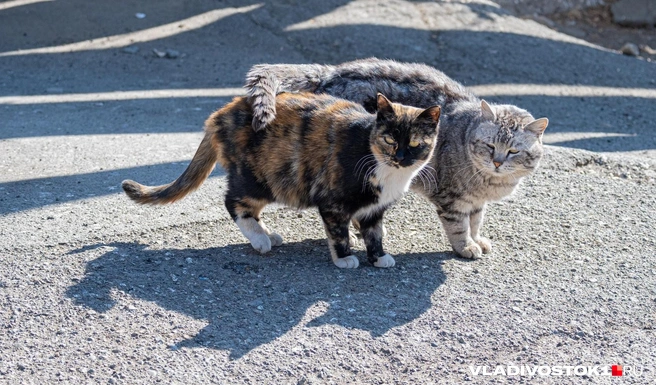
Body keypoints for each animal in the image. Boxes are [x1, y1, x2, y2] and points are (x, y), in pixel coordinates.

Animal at [123, 92, 440, 268]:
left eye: (414, 143)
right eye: (389, 140)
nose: (400, 156)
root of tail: (219, 115)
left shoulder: (374, 210)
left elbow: (374, 234)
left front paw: (378, 257)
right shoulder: (332, 201)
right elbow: (338, 232)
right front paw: (344, 258)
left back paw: (267, 234)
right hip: (260, 178)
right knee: (234, 202)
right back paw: (259, 239)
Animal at [243, 57, 544, 258]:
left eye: (513, 151)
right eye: (490, 146)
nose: (498, 162)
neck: (489, 183)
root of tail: (330, 71)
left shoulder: (476, 203)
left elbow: (476, 221)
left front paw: (477, 239)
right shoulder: (451, 198)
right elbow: (459, 227)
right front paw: (467, 247)